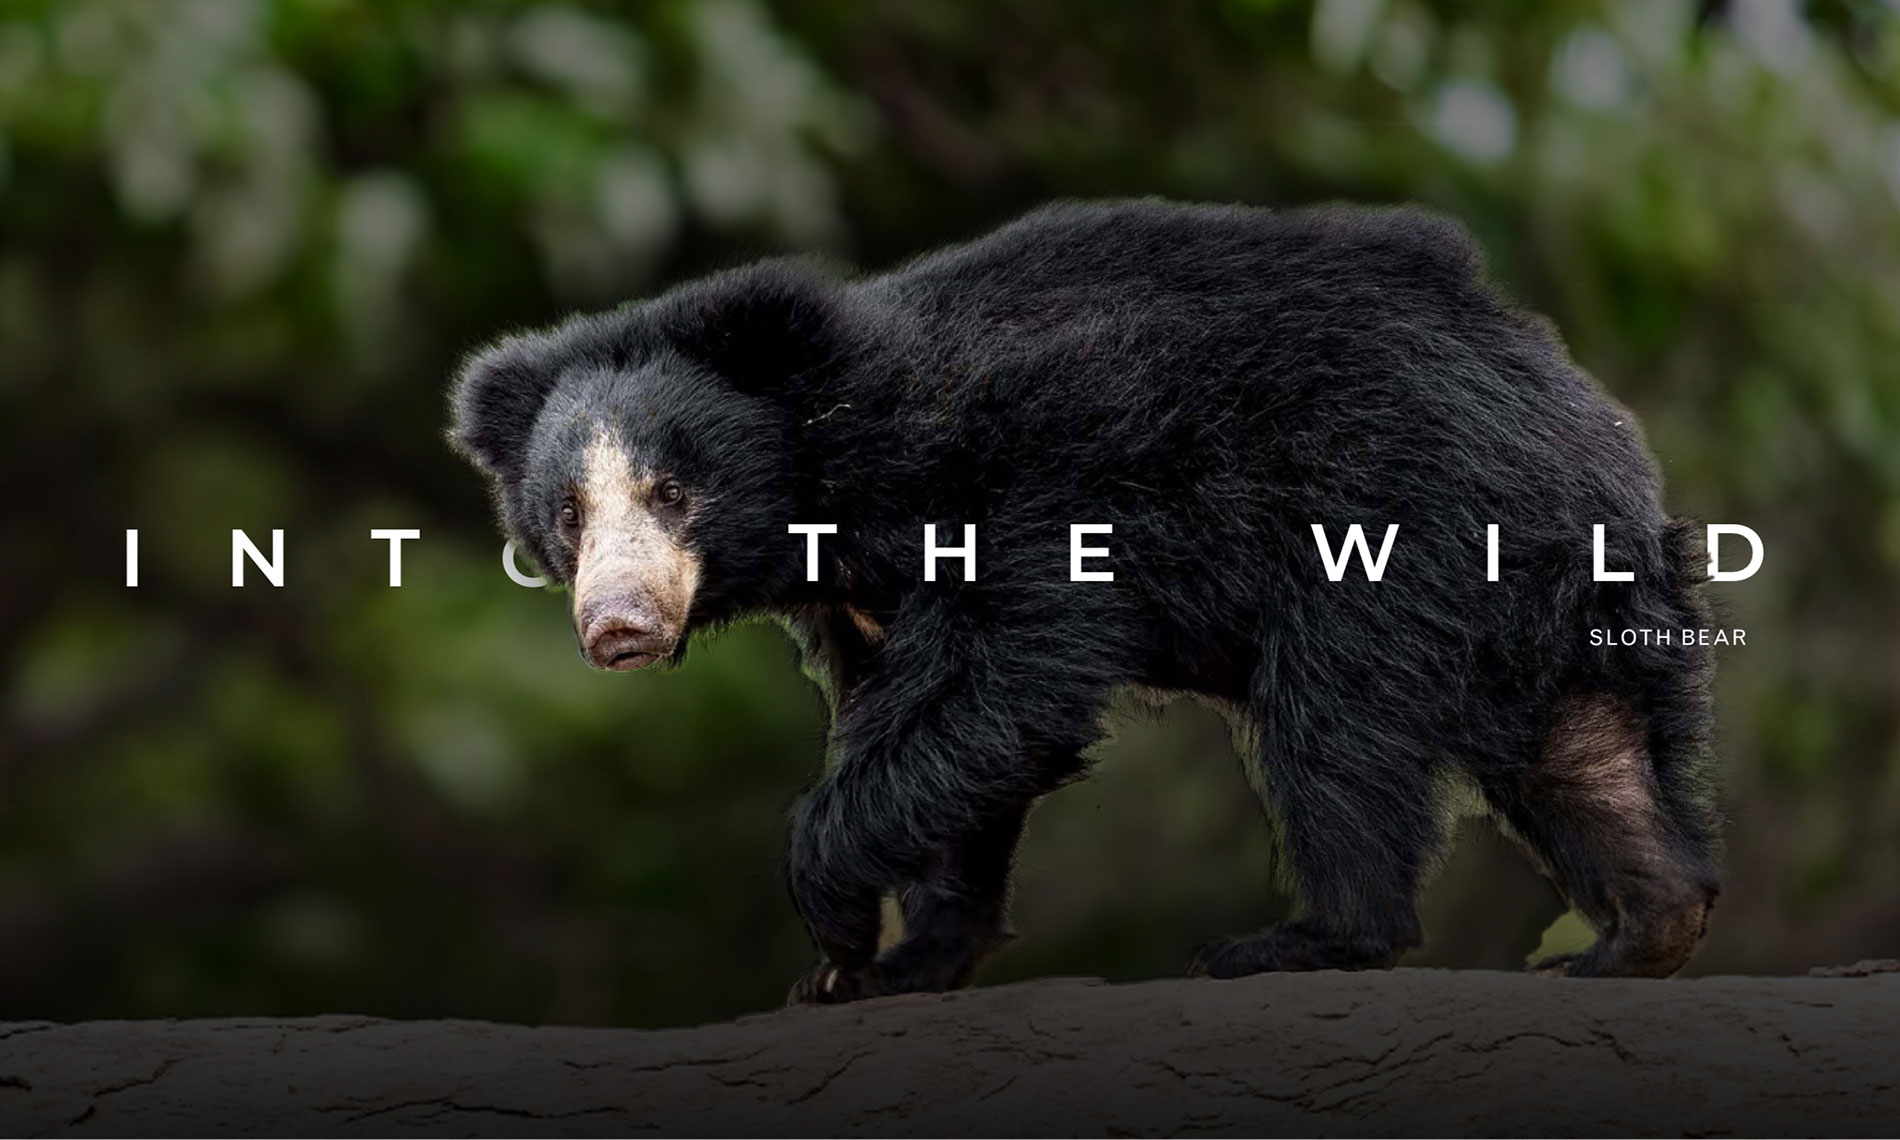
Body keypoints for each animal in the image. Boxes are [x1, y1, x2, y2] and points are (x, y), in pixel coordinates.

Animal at [448, 199, 1722, 1004]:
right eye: (569, 514)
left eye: (673, 493)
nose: (617, 628)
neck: (842, 481)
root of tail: (1567, 392)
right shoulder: (862, 598)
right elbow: (946, 743)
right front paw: (902, 962)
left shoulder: (1026, 489)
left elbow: (1001, 689)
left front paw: (836, 925)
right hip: (1533, 578)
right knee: (1583, 743)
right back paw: (1641, 931)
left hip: (1396, 521)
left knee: (1332, 724)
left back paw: (1302, 942)